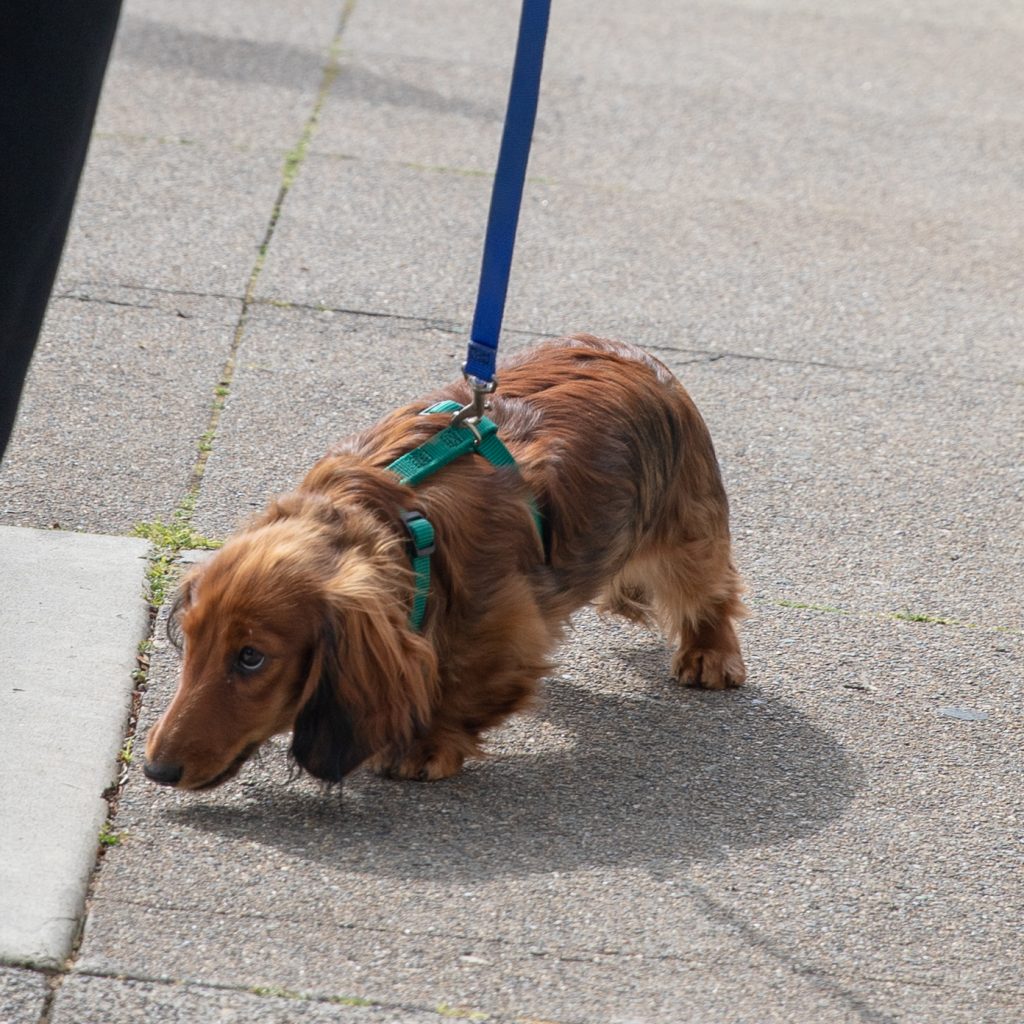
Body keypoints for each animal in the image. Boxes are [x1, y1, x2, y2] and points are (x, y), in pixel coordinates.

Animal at [142, 335, 745, 790]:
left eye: (251, 658)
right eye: (191, 640)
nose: (155, 770)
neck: (404, 527)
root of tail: (633, 355)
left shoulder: (506, 629)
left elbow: (465, 685)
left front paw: (426, 745)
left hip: (687, 534)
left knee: (709, 592)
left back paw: (709, 654)